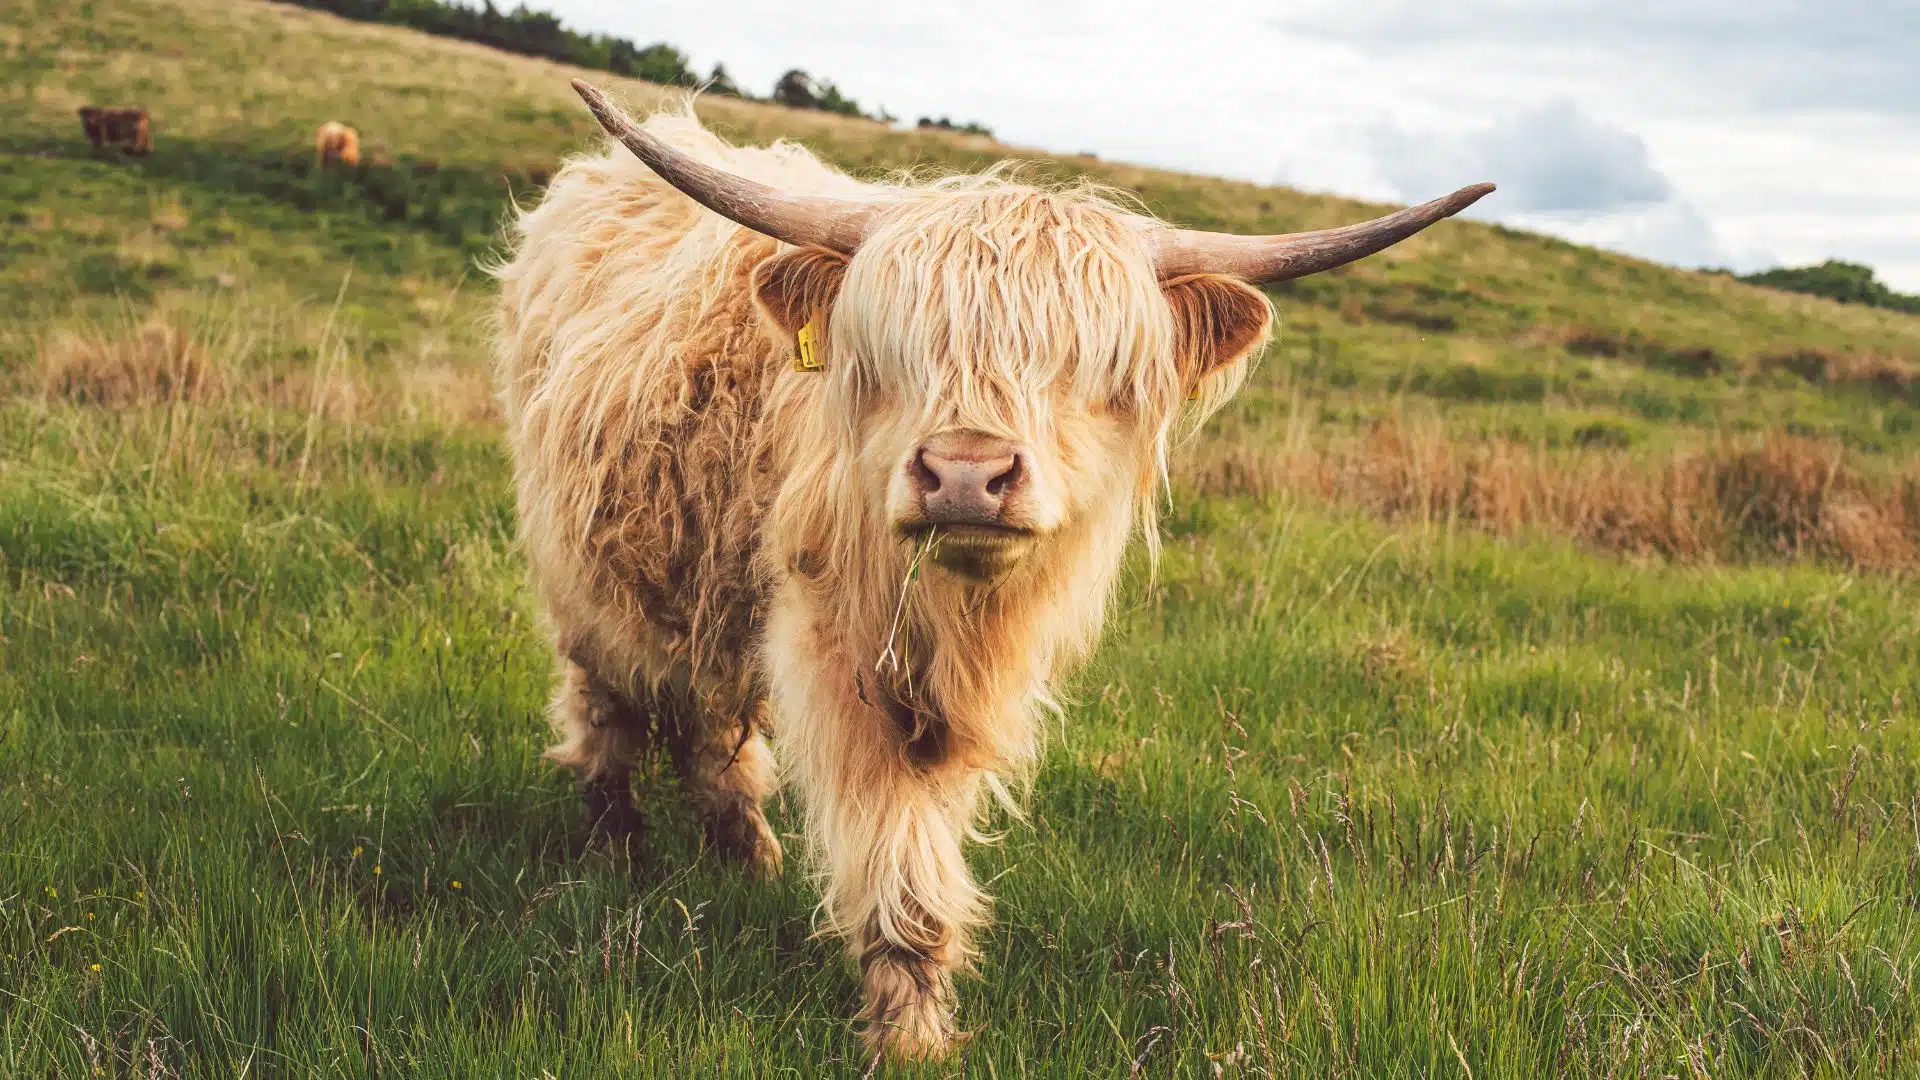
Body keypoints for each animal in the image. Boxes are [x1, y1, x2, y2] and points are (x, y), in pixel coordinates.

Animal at [492, 78, 1491, 1059]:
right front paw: (909, 1039)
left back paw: (746, 855)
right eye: (894, 352)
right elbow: (898, 862)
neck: (955, 615)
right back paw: (617, 845)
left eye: (1091, 366)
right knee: (606, 698)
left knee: (708, 718)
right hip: (580, 564)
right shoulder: (839, 655)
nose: (966, 474)